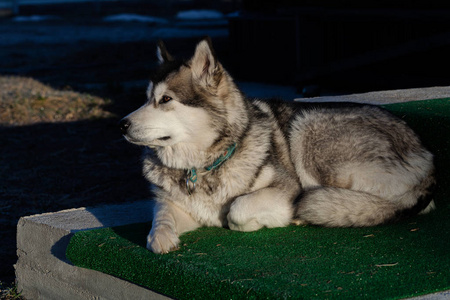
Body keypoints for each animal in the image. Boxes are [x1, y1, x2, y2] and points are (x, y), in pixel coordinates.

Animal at [119, 37, 436, 253]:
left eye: (166, 99)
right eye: (145, 98)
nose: (121, 124)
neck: (202, 166)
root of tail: (425, 154)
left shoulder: (285, 187)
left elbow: (237, 209)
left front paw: (258, 220)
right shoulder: (176, 204)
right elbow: (159, 219)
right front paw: (161, 236)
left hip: (306, 128)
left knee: (374, 205)